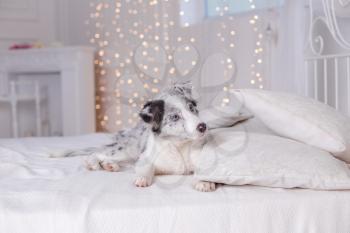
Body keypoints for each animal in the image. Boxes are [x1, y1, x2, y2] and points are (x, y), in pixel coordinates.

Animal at [54, 83, 216, 192]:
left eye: (192, 108)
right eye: (175, 117)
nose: (203, 126)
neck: (178, 146)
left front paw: (205, 181)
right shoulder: (144, 158)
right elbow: (146, 168)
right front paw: (143, 178)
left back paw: (109, 165)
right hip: (127, 150)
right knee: (95, 153)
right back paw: (94, 163)